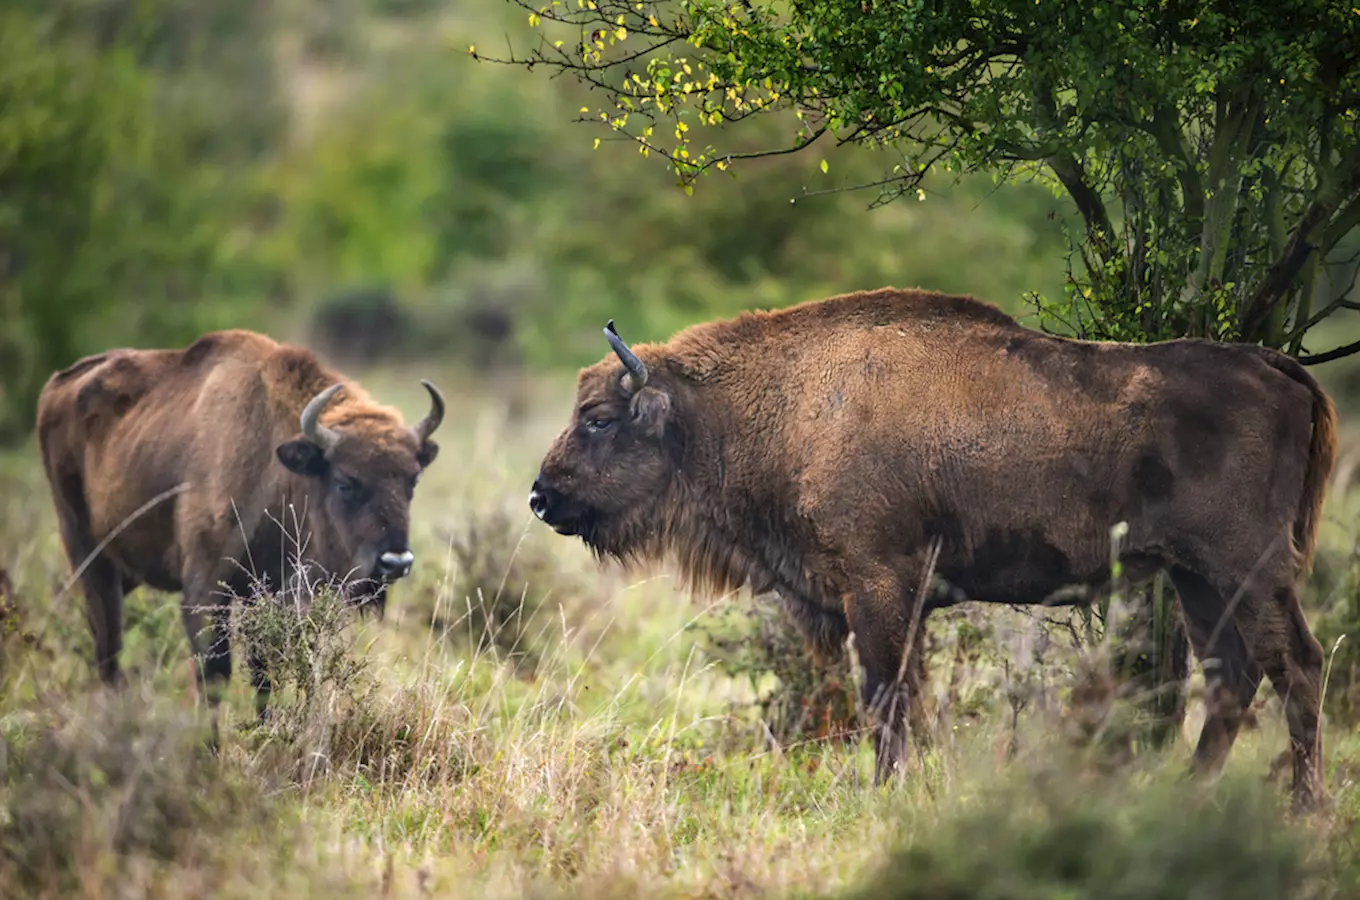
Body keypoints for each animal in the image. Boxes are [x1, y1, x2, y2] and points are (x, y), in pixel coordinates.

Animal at [37, 331, 443, 728]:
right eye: (346, 481)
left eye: (413, 479)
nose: (395, 562)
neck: (273, 467)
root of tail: (57, 385)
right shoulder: (205, 593)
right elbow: (215, 676)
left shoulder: (268, 594)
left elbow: (264, 672)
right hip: (89, 556)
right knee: (108, 647)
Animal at [527, 286, 1338, 810]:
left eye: (598, 418)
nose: (540, 497)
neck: (779, 404)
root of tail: (1277, 367)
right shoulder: (900, 599)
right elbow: (906, 697)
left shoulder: (878, 587)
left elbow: (886, 696)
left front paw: (886, 794)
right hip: (1197, 579)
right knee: (1233, 677)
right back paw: (1188, 796)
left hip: (1249, 570)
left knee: (1296, 666)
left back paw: (1305, 808)